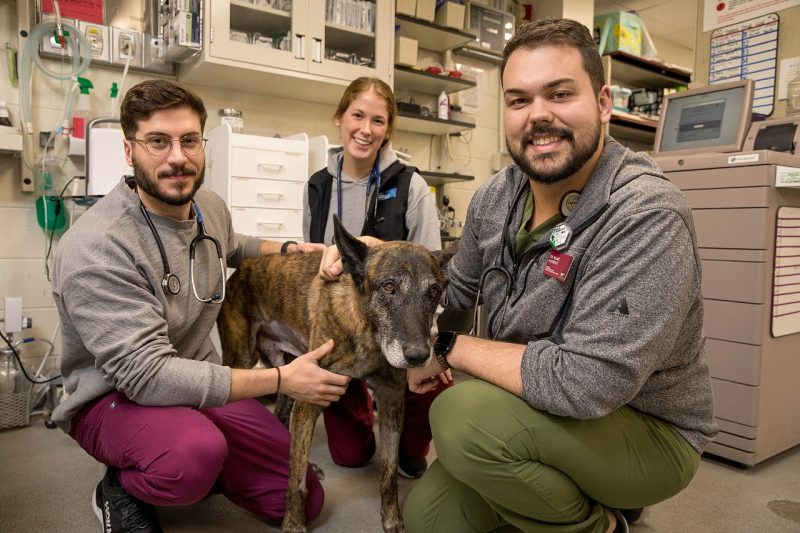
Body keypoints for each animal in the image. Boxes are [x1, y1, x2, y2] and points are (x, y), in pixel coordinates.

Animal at [219, 217, 454, 532]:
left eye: (434, 292)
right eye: (389, 287)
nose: (419, 356)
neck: (367, 335)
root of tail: (240, 270)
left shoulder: (391, 401)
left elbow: (389, 471)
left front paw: (391, 518)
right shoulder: (309, 397)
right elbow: (296, 482)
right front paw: (293, 524)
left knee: (281, 421)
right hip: (244, 360)